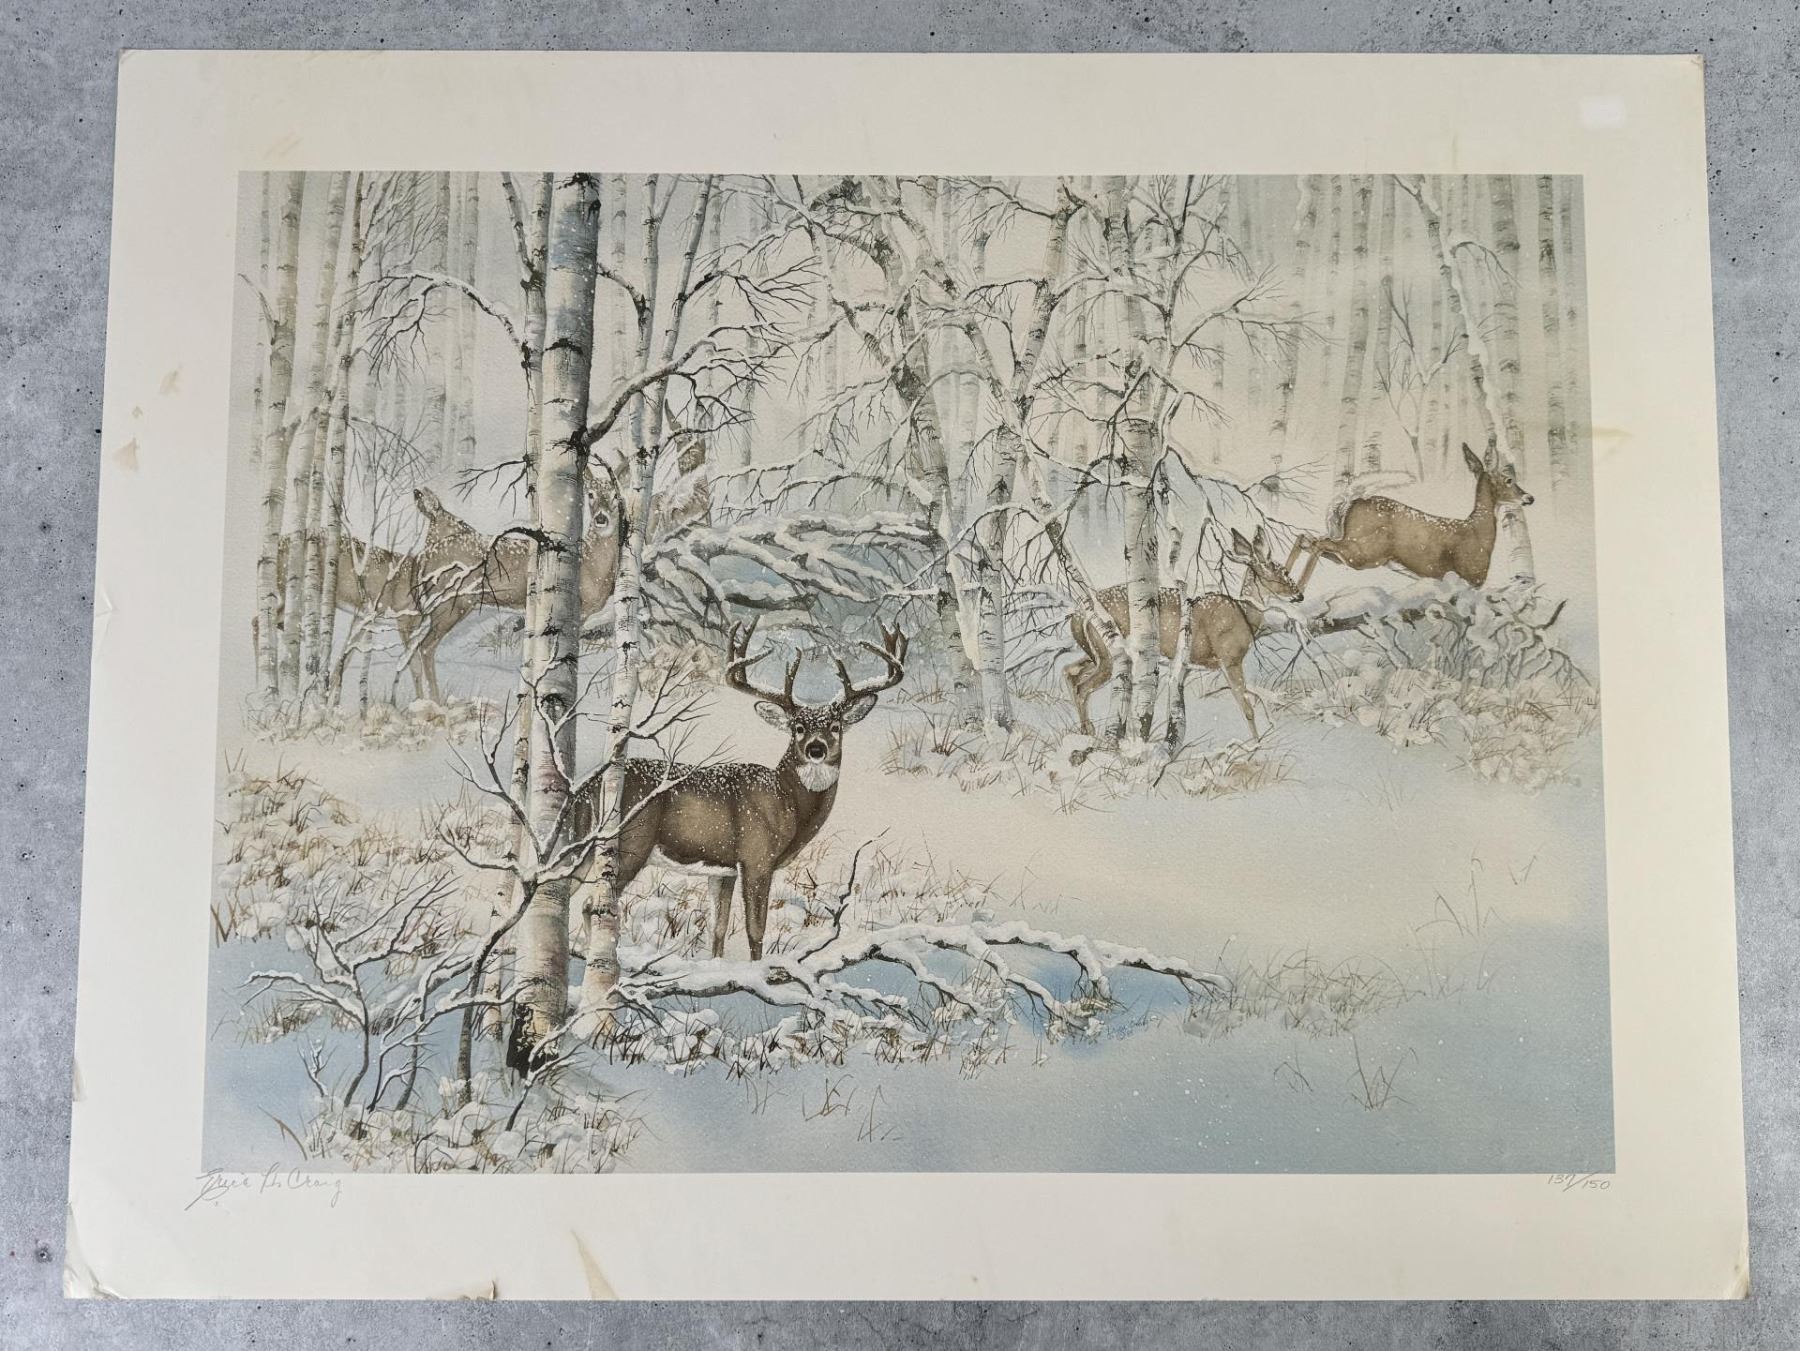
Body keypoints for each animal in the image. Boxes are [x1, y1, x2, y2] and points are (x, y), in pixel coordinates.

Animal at [406, 474, 624, 702]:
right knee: (425, 647)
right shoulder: (577, 612)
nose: (601, 518)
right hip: (451, 603)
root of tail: (426, 553)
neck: (591, 562)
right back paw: (435, 699)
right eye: (590, 494)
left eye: (615, 495)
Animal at [572, 619, 908, 962]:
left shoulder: (723, 870)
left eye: (836, 727)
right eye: (797, 727)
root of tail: (587, 786)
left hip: (580, 843)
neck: (786, 801)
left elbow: (717, 927)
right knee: (591, 905)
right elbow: (755, 930)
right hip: (630, 843)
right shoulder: (756, 858)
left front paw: (716, 963)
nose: (816, 748)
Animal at [1065, 527, 1304, 739]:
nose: (1300, 595)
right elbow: (1246, 706)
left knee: (1069, 672)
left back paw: (1085, 731)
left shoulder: (1194, 665)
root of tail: (1078, 615)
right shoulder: (1229, 659)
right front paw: (1257, 742)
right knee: (1082, 687)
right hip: (1110, 652)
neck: (1243, 614)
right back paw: (1088, 732)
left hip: (1096, 652)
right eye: (1284, 572)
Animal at [1285, 443, 1533, 592]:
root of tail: (1350, 498)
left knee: (1307, 537)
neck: (1477, 530)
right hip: (1366, 551)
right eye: (1509, 480)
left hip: (1352, 547)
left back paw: (1284, 582)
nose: (1529, 497)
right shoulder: (1472, 575)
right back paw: (1298, 590)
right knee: (1319, 542)